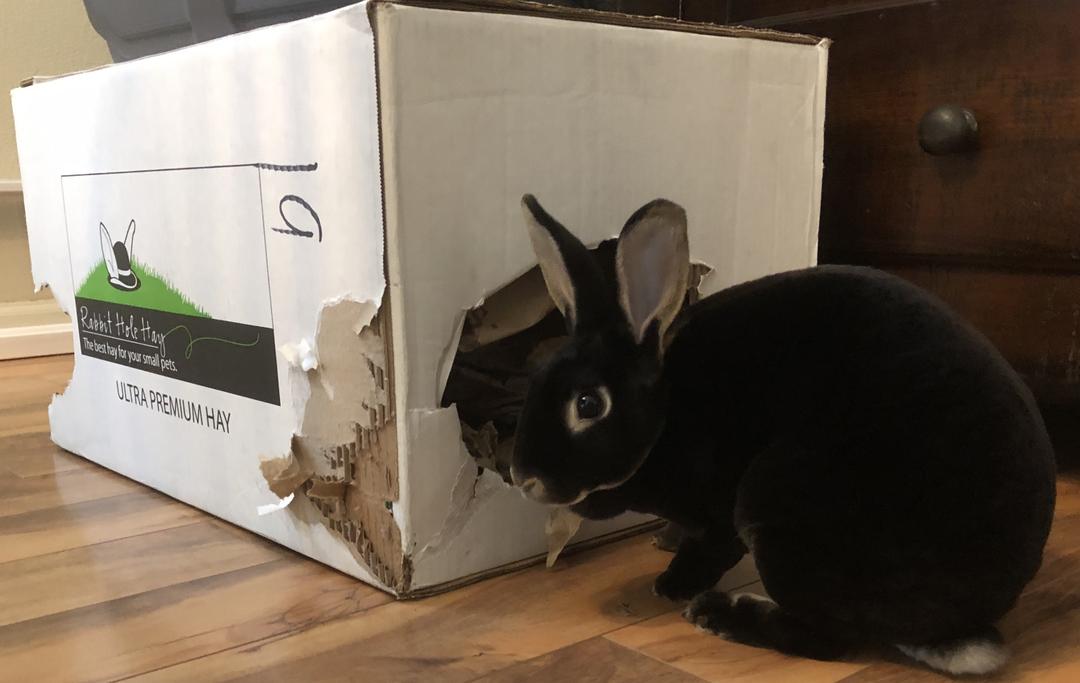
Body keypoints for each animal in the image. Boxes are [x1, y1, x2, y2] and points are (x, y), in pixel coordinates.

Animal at [511, 194, 1054, 674]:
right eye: (533, 375)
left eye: (588, 405)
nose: (522, 477)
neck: (667, 414)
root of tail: (960, 628)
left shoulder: (721, 512)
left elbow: (709, 548)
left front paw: (670, 585)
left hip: (780, 502)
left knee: (823, 639)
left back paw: (717, 614)